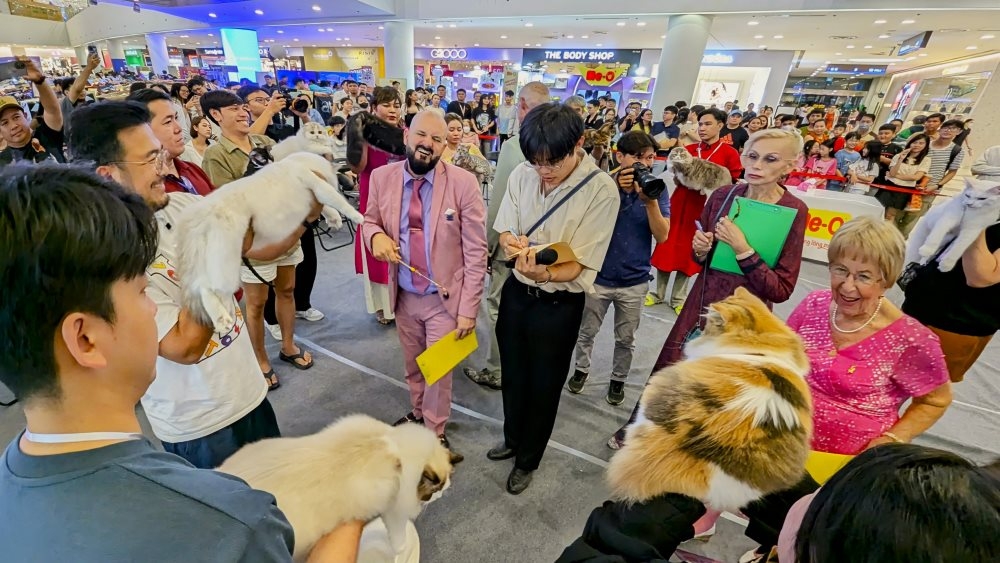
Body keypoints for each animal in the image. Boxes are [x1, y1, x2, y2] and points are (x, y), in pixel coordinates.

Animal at [175, 152, 364, 332]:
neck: (301, 161)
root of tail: (202, 212)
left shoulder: (314, 196)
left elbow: (326, 208)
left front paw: (334, 219)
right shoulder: (318, 185)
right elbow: (339, 202)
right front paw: (357, 217)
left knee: (210, 288)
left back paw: (225, 317)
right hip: (226, 260)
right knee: (204, 287)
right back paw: (223, 320)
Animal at [219, 412, 460, 560]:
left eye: (443, 488)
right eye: (434, 490)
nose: (441, 496)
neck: (390, 444)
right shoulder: (395, 509)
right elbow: (398, 534)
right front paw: (399, 550)